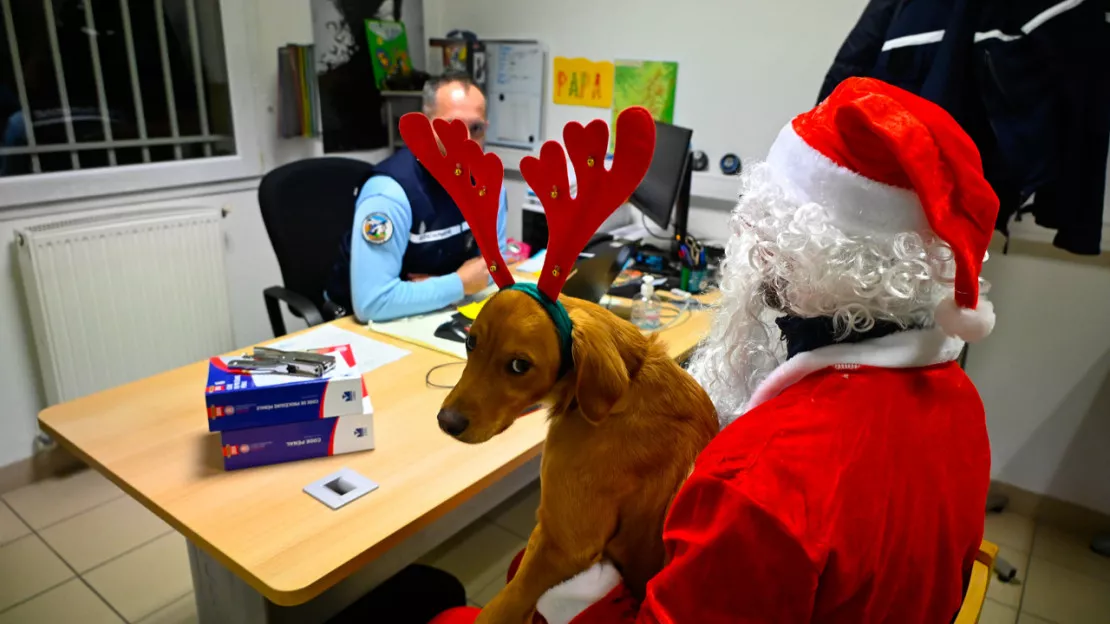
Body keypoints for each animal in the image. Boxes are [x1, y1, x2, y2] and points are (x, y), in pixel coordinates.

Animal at [437, 288, 714, 617]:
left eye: (519, 366)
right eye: (470, 342)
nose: (446, 422)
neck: (625, 390)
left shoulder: (564, 547)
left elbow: (503, 605)